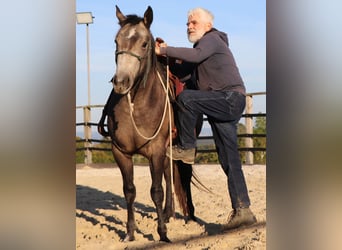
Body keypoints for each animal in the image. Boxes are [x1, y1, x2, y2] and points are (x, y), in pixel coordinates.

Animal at [96, 4, 198, 242]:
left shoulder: (156, 150)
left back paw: (188, 216)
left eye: (144, 44)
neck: (137, 104)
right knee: (169, 176)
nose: (121, 82)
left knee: (181, 176)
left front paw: (162, 234)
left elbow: (156, 191)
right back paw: (169, 214)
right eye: (116, 41)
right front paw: (130, 232)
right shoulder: (121, 152)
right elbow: (129, 190)